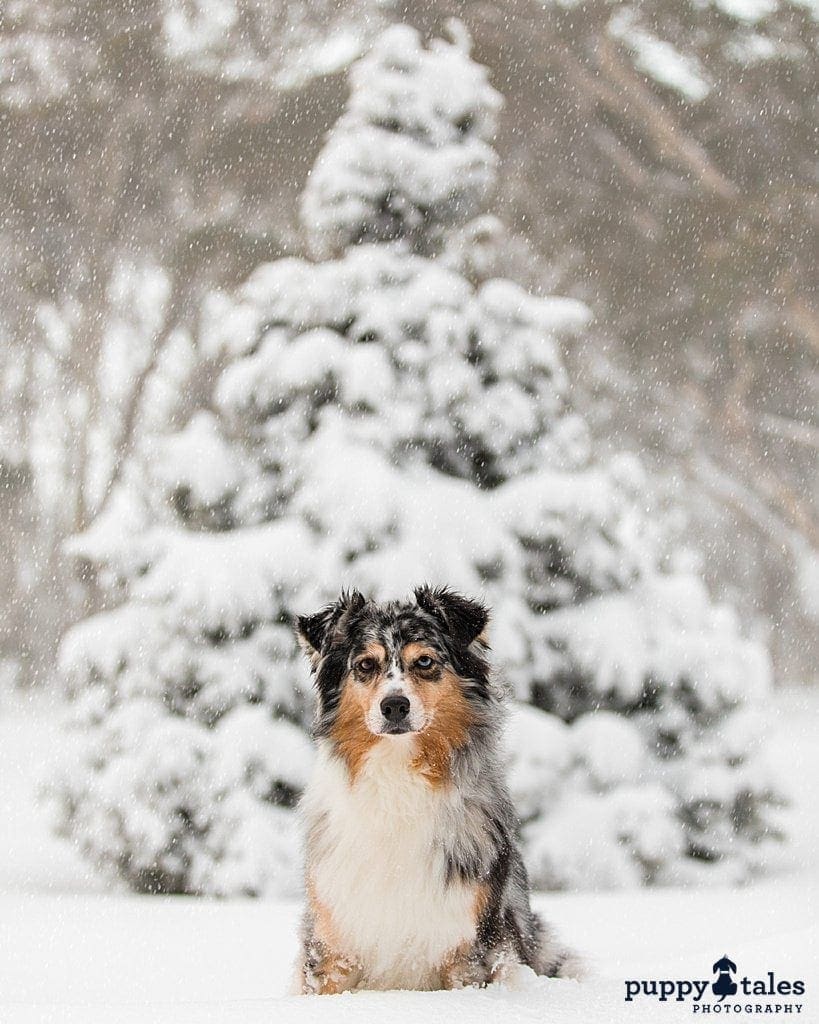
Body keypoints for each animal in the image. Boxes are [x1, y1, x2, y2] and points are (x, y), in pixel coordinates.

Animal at [290, 589, 577, 995]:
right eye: (365, 665)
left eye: (424, 661)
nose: (394, 705)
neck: (399, 781)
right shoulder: (332, 941)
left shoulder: (471, 945)